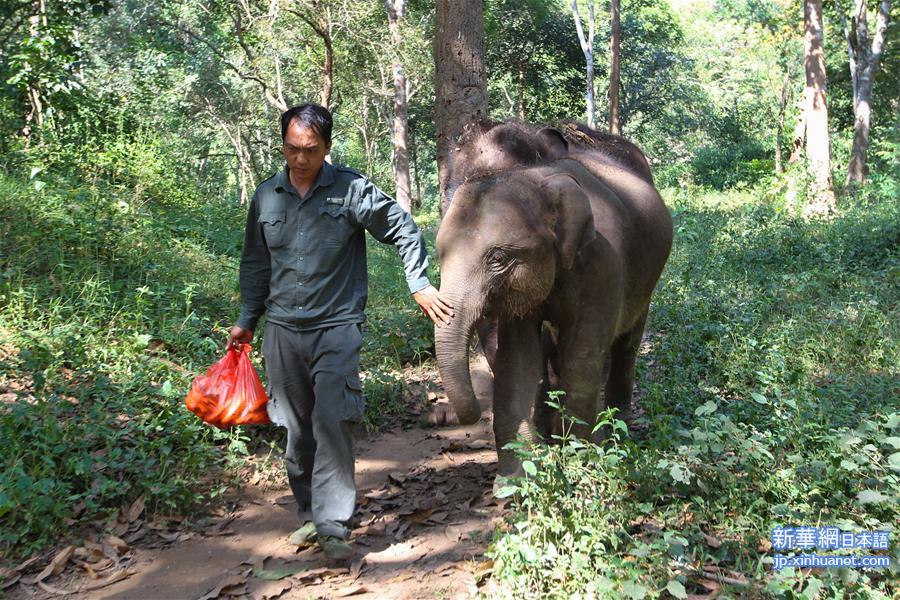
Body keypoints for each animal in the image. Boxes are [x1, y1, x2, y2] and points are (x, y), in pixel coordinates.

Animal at [432, 124, 672, 480]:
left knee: (624, 346)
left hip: (647, 280)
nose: (459, 417)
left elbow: (581, 356)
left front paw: (579, 460)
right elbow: (517, 358)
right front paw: (515, 476)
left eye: (498, 258)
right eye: (439, 255)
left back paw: (618, 433)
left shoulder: (603, 262)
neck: (541, 178)